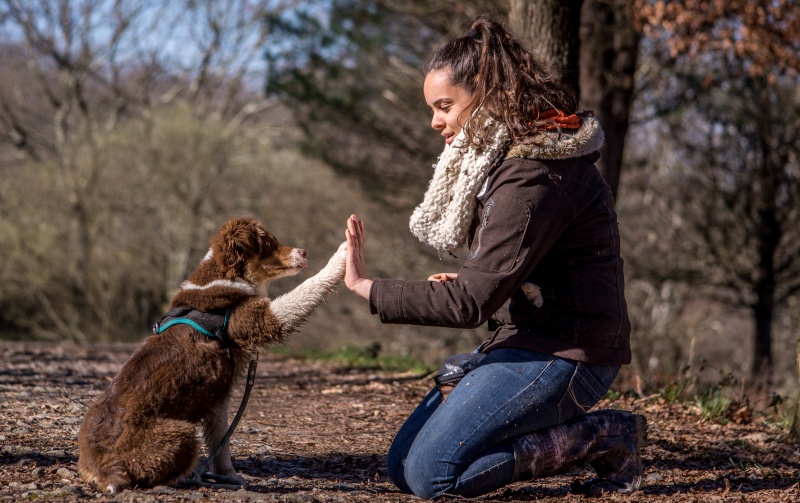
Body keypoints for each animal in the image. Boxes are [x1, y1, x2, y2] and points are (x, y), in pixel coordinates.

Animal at [77, 219, 346, 494]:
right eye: (269, 242)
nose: (304, 252)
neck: (227, 276)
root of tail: (102, 468)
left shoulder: (217, 398)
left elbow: (221, 442)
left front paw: (230, 476)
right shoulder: (260, 319)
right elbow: (306, 288)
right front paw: (344, 252)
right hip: (179, 433)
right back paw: (186, 477)